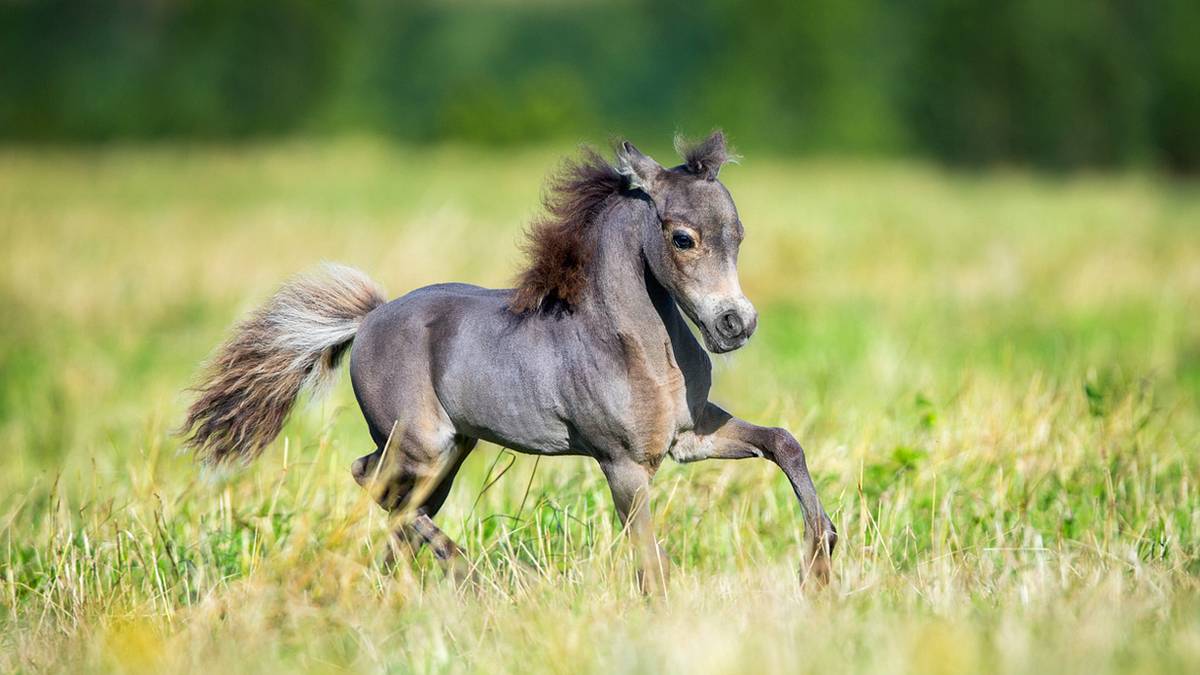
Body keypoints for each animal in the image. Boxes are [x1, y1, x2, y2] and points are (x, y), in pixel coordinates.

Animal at [180, 131, 835, 588]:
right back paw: (469, 574)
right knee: (371, 480)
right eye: (682, 238)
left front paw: (822, 557)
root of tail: (370, 319)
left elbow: (783, 442)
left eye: (738, 234)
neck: (636, 345)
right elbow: (649, 558)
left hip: (448, 456)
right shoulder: (624, 464)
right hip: (420, 444)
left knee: (399, 506)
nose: (735, 325)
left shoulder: (688, 438)